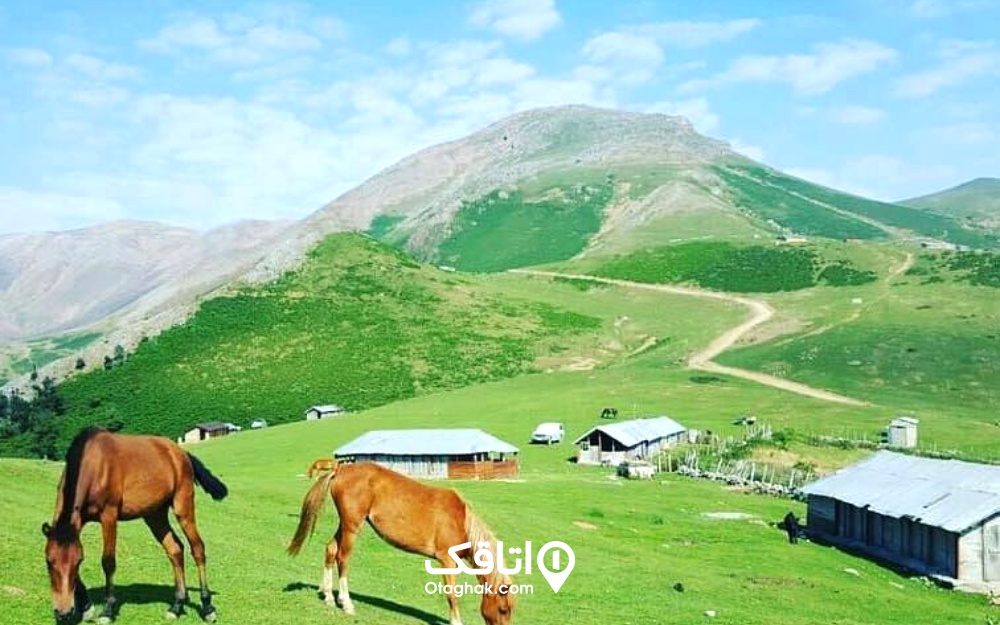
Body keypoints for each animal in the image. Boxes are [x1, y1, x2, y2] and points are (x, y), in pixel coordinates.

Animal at [43, 426, 229, 620]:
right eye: (49, 562)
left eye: (77, 563)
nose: (63, 613)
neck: (93, 464)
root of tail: (181, 453)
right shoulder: (77, 523)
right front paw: (86, 607)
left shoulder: (109, 516)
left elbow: (108, 561)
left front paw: (107, 610)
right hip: (155, 515)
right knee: (175, 549)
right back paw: (177, 605)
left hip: (183, 508)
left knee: (198, 548)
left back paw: (207, 607)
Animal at [284, 458, 512, 624]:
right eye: (503, 609)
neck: (461, 521)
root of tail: (340, 469)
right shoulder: (447, 561)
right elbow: (452, 595)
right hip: (352, 527)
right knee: (343, 559)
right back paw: (346, 603)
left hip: (346, 525)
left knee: (330, 550)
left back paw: (328, 597)